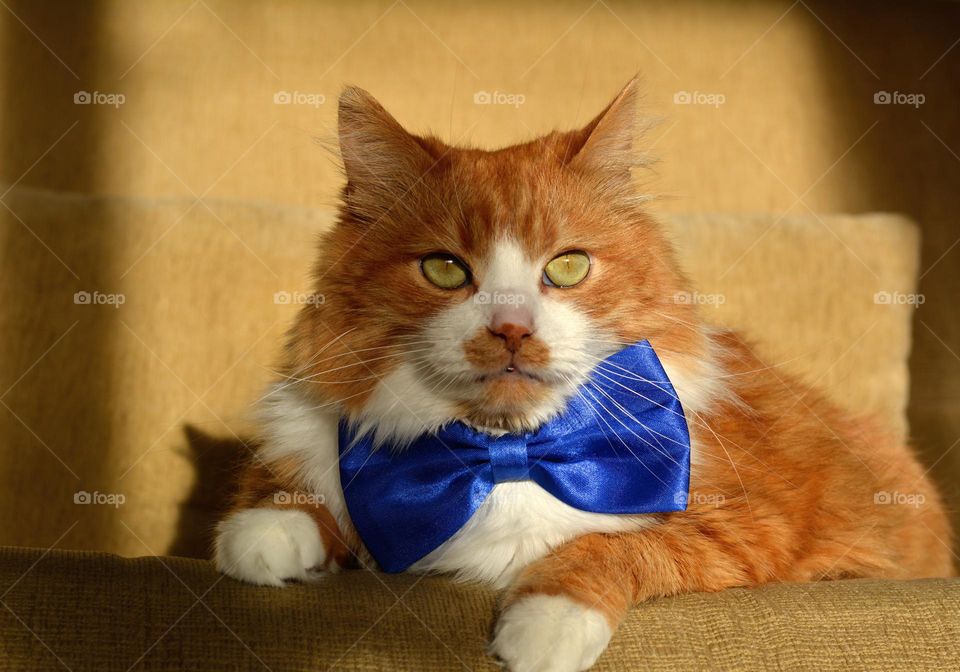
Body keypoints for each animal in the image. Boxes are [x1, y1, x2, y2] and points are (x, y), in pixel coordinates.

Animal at [212, 79, 952, 672]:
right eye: (445, 269)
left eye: (567, 267)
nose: (512, 329)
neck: (507, 450)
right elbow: (291, 488)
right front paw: (268, 533)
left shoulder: (747, 527)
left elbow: (612, 546)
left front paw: (544, 625)